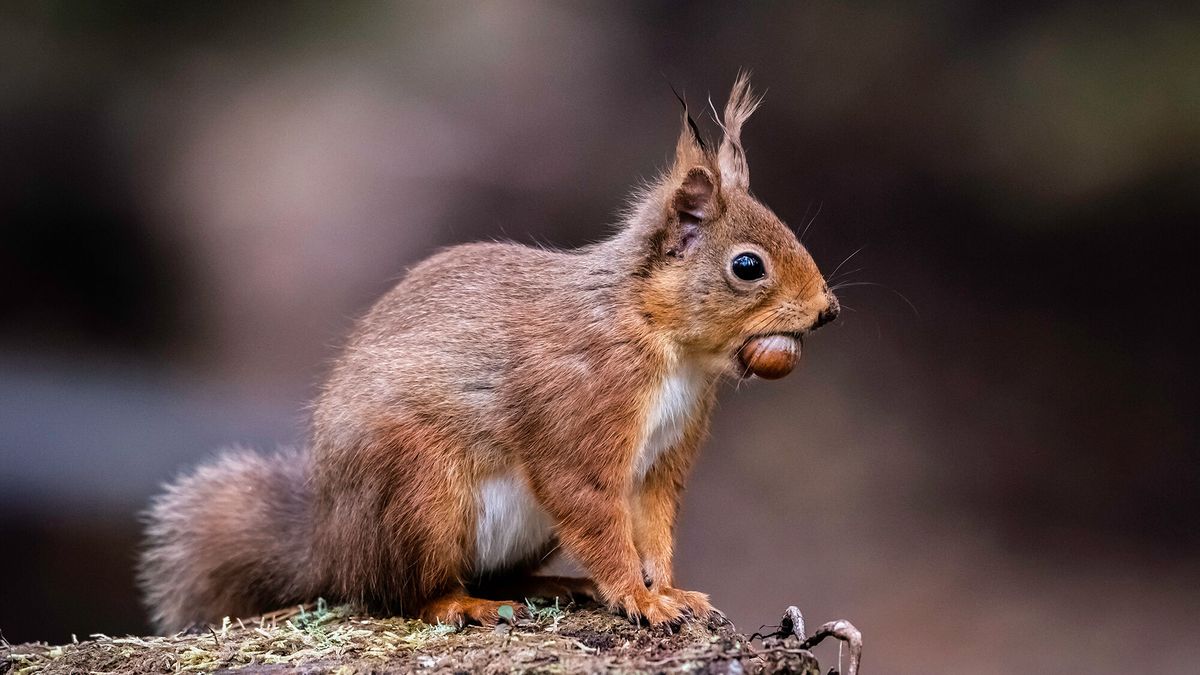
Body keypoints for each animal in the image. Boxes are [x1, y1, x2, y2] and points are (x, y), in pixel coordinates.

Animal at [140, 74, 840, 629]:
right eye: (746, 266)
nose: (828, 310)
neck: (663, 343)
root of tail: (331, 546)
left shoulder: (663, 456)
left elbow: (653, 524)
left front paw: (670, 590)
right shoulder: (578, 410)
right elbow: (594, 510)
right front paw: (638, 598)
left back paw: (552, 584)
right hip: (418, 492)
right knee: (400, 593)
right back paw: (460, 604)